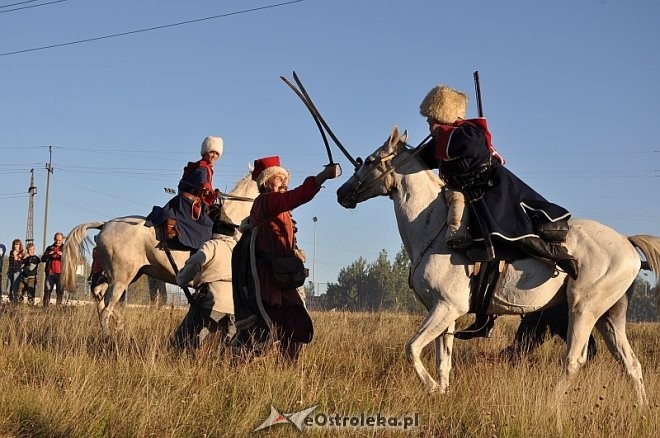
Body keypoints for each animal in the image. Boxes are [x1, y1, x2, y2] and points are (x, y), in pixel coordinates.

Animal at [62, 171, 258, 332]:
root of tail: (105, 225)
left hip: (122, 275)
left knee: (100, 297)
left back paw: (120, 326)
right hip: (120, 279)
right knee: (106, 308)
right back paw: (108, 335)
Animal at [338, 125, 656, 406]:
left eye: (369, 161)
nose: (342, 193)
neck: (435, 229)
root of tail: (627, 243)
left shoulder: (447, 307)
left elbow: (412, 348)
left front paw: (432, 389)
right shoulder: (443, 311)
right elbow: (443, 362)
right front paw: (443, 393)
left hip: (583, 309)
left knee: (574, 360)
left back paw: (551, 403)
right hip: (609, 317)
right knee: (630, 363)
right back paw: (641, 408)